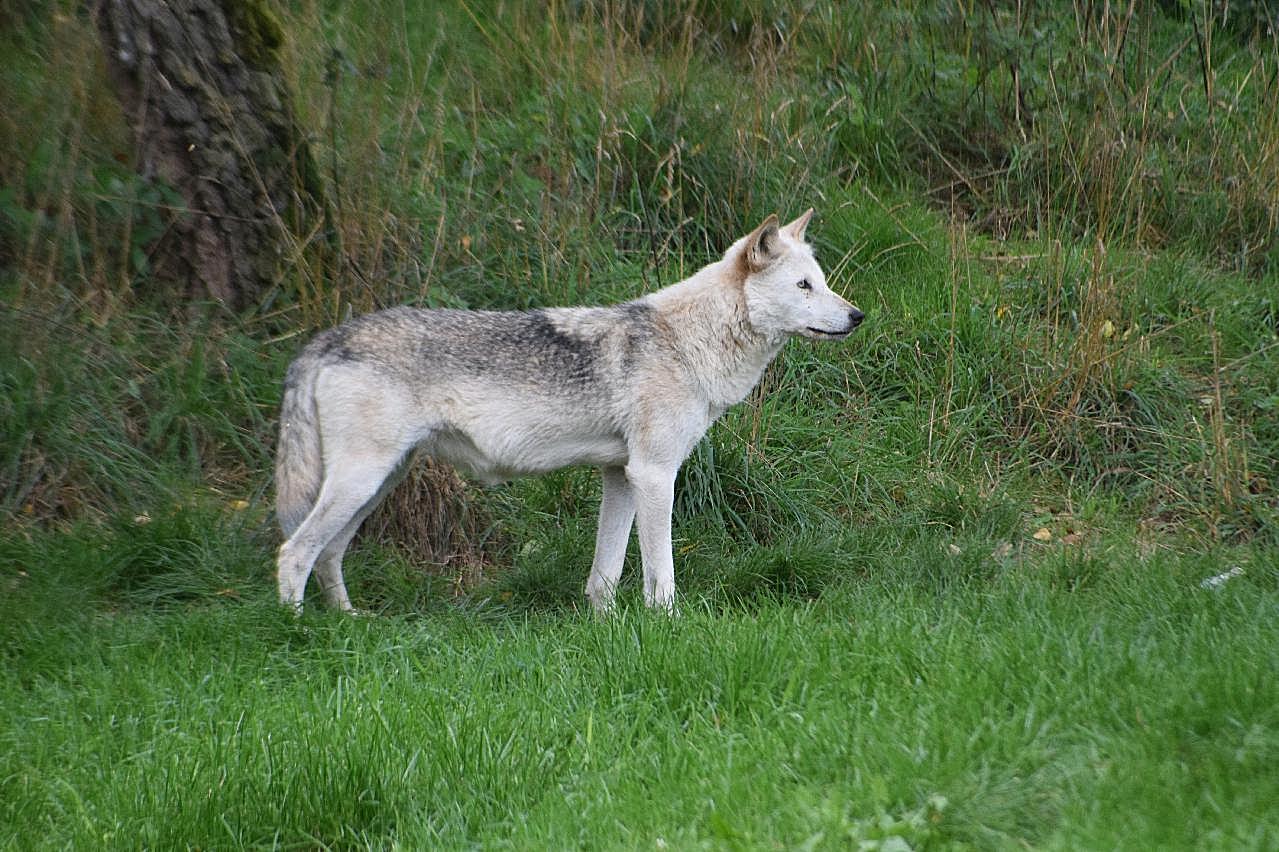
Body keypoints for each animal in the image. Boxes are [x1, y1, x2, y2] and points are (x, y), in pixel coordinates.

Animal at [274, 211, 864, 611]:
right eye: (803, 286)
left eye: (824, 282)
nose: (857, 316)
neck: (686, 343)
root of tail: (327, 339)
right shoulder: (654, 475)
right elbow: (661, 574)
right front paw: (668, 626)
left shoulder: (621, 476)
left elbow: (605, 573)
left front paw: (604, 627)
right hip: (361, 481)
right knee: (294, 552)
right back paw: (302, 633)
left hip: (377, 486)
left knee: (328, 553)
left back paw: (349, 620)